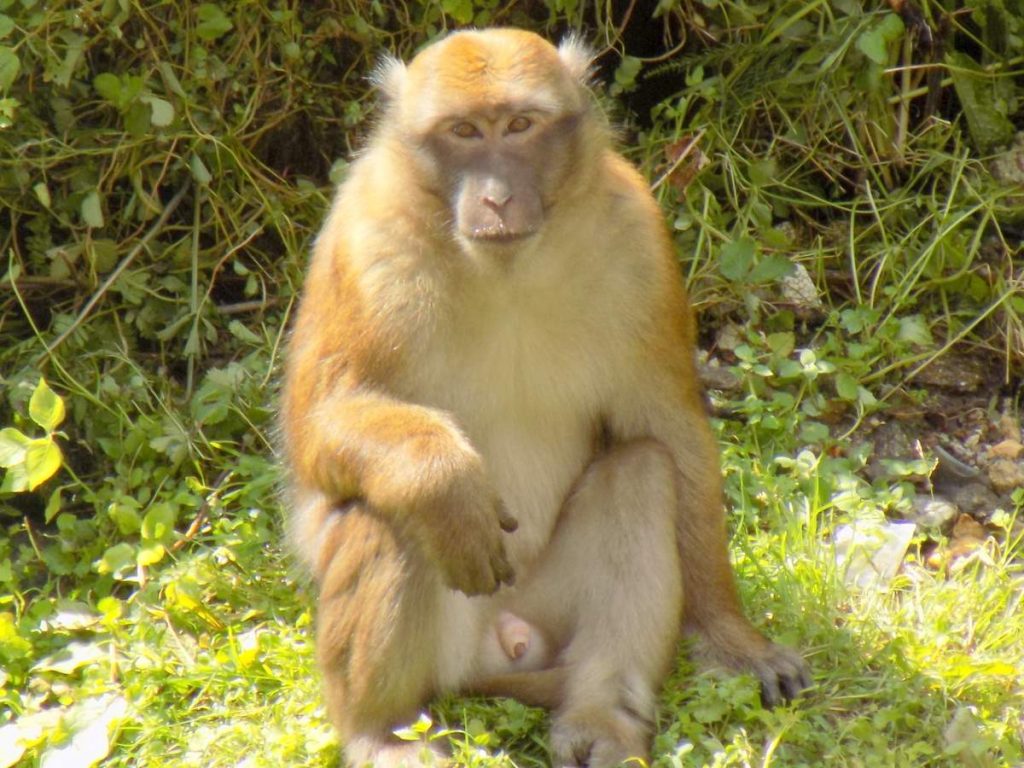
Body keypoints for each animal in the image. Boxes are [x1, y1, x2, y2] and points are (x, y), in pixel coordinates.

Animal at [280, 27, 806, 768]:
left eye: (520, 126)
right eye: (464, 132)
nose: (498, 197)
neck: (504, 269)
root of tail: (501, 646)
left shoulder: (639, 241)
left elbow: (670, 432)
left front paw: (728, 636)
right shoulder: (363, 243)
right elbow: (318, 426)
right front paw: (442, 481)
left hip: (550, 617)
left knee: (642, 471)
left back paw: (600, 713)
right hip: (454, 634)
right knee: (387, 511)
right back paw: (380, 729)